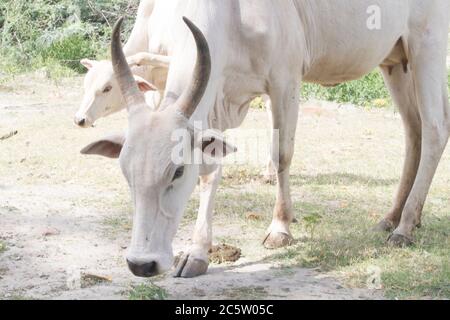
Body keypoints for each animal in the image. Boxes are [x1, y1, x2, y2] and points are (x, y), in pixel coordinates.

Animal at [81, 1, 450, 278]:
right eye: (126, 172)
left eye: (177, 172)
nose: (142, 264)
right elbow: (212, 173)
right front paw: (197, 254)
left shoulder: (285, 81)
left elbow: (283, 153)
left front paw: (280, 228)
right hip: (395, 62)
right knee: (413, 130)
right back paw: (393, 217)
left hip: (426, 48)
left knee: (434, 128)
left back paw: (405, 225)